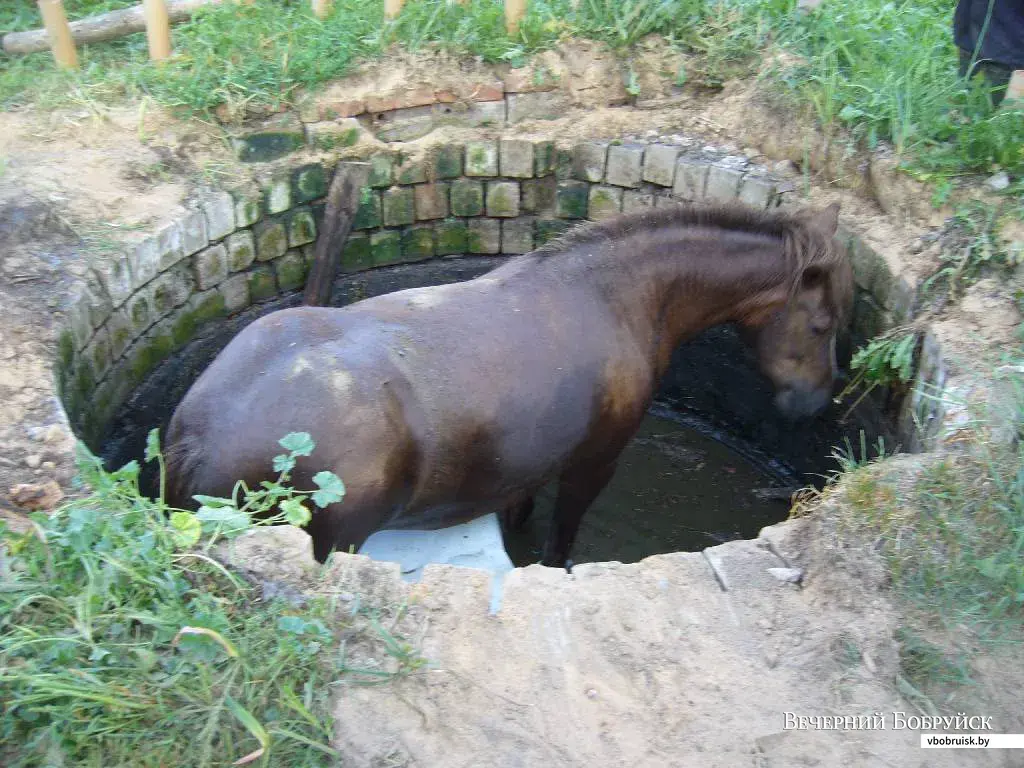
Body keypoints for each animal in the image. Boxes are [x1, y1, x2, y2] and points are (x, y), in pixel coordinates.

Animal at [167, 201, 851, 569]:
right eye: (822, 324)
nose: (818, 402)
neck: (616, 297)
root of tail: (196, 436)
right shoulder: (592, 465)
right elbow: (559, 544)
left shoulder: (526, 465)